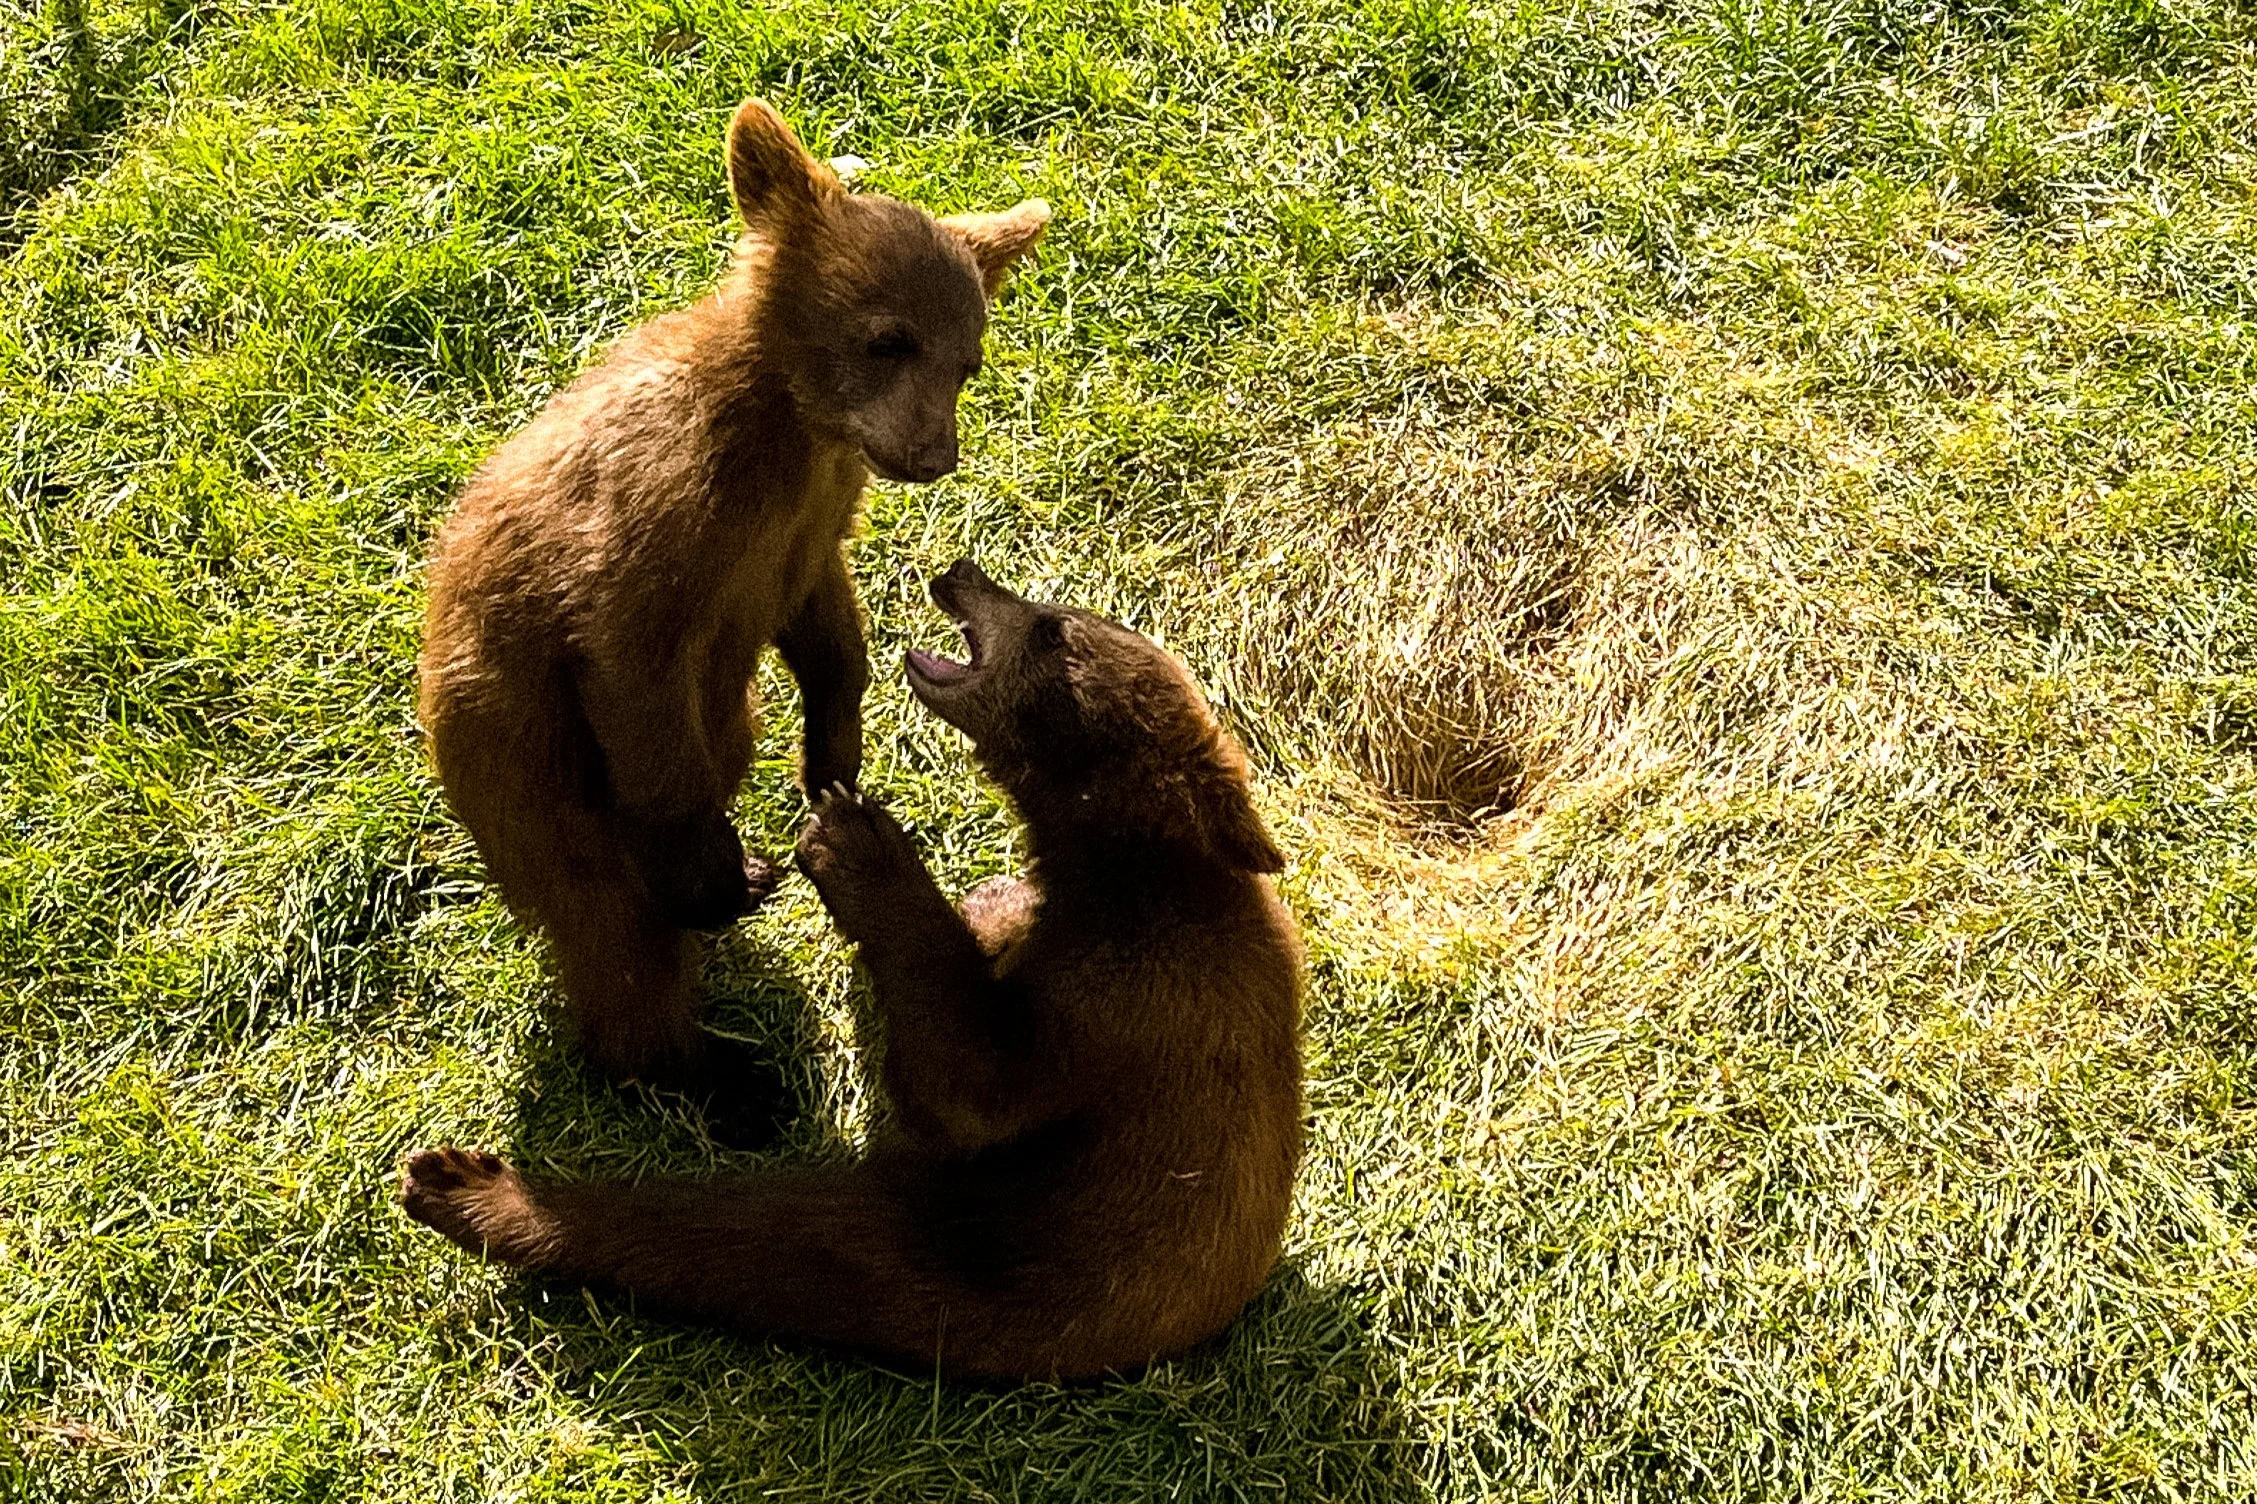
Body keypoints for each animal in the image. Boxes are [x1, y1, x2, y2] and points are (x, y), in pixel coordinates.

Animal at [400, 561, 1306, 1382]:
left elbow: (971, 1083)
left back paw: (463, 1184)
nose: (960, 571)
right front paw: (988, 896)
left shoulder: (1132, 999)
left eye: (1052, 628)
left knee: (741, 1238)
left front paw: (854, 838)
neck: (1124, 874)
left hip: (970, 1255)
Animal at [416, 99, 1049, 1127]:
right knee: (606, 922)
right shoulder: (656, 523)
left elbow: (830, 639)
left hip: (701, 718)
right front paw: (712, 872)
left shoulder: (807, 530)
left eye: (969, 361)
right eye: (888, 339)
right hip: (519, 753)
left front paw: (832, 769)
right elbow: (632, 673)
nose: (933, 454)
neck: (795, 426)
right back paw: (722, 1078)